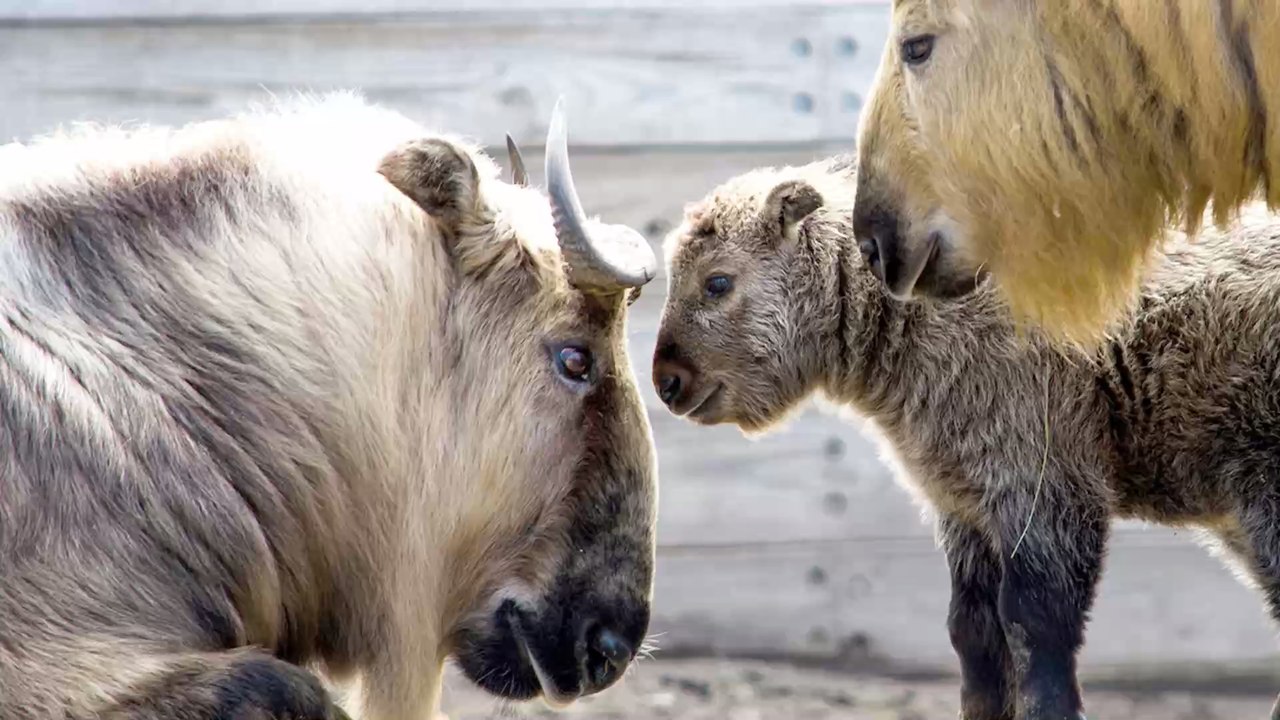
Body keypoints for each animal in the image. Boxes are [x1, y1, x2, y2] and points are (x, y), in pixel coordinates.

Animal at [660, 156, 1280, 717]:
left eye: (717, 282)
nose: (668, 381)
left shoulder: (1042, 483)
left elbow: (1033, 622)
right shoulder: (963, 501)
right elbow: (973, 630)